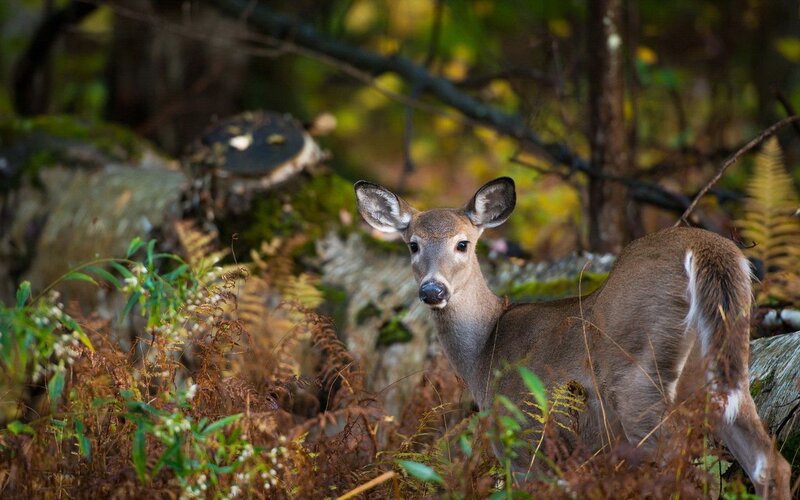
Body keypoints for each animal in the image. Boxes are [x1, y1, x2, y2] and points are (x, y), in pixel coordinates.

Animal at [354, 177, 791, 498]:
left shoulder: (525, 437)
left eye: (463, 243)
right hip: (723, 368)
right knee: (770, 463)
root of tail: (707, 249)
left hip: (637, 373)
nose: (433, 290)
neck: (485, 352)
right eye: (413, 244)